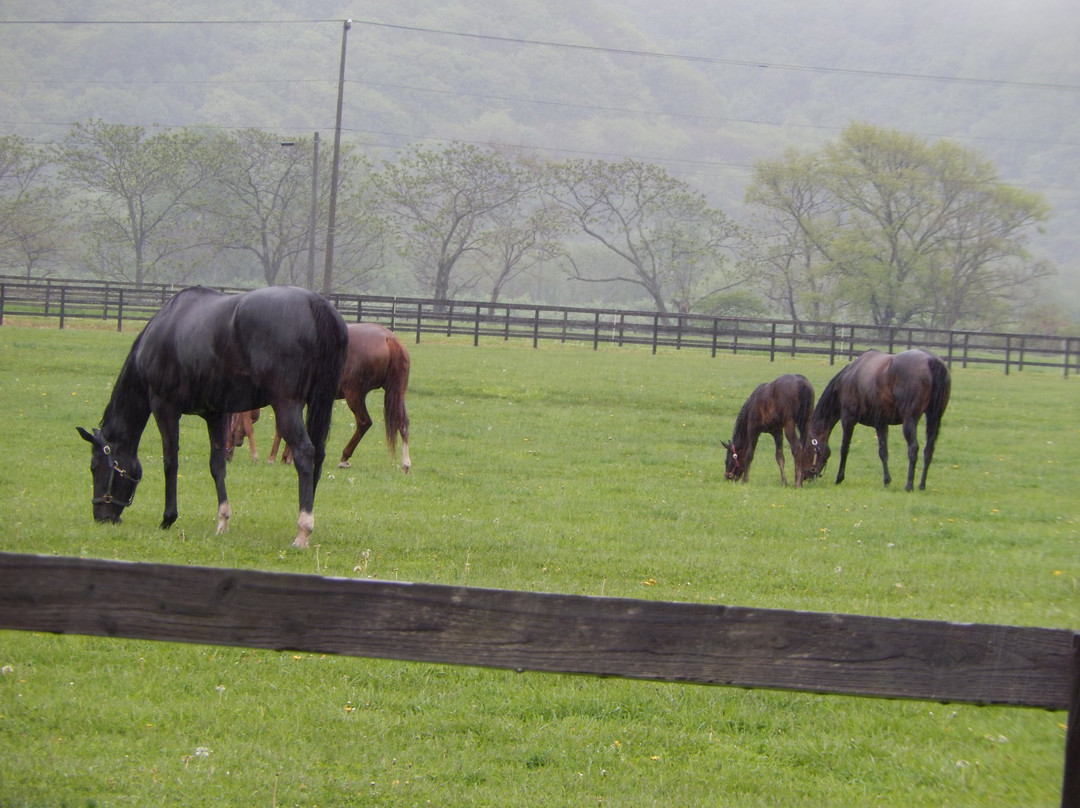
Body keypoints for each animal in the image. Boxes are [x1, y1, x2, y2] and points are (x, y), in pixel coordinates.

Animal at [77, 285, 348, 547]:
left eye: (94, 466)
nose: (102, 517)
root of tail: (315, 303)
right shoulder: (216, 414)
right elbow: (217, 465)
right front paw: (223, 521)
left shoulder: (165, 408)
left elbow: (170, 462)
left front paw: (168, 518)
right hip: (319, 403)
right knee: (318, 456)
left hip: (286, 406)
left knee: (304, 453)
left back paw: (303, 530)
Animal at [268, 322, 412, 472]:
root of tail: (390, 339)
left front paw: (275, 457)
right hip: (398, 394)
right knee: (403, 422)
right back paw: (405, 462)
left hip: (354, 396)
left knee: (364, 422)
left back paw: (344, 457)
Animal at [801, 349, 951, 491]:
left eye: (808, 450)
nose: (805, 477)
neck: (847, 379)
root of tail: (931, 361)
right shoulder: (881, 424)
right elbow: (883, 452)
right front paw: (886, 481)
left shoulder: (848, 419)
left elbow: (844, 448)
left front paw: (839, 478)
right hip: (934, 419)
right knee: (929, 450)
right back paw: (921, 485)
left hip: (910, 421)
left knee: (913, 449)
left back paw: (909, 485)